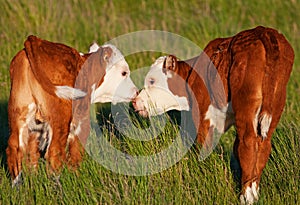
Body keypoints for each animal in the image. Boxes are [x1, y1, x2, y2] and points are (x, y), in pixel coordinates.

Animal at [6, 35, 137, 186]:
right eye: (124, 73)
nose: (136, 91)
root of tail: (34, 40)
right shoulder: (81, 122)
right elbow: (76, 152)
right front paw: (76, 177)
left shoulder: (36, 131)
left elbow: (31, 155)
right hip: (60, 119)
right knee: (55, 151)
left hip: (19, 115)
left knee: (14, 149)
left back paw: (18, 187)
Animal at [132, 26, 294, 203]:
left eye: (152, 81)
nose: (135, 101)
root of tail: (263, 31)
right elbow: (235, 148)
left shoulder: (203, 117)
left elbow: (204, 146)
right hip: (276, 104)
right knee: (263, 145)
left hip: (246, 102)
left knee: (248, 143)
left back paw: (246, 196)